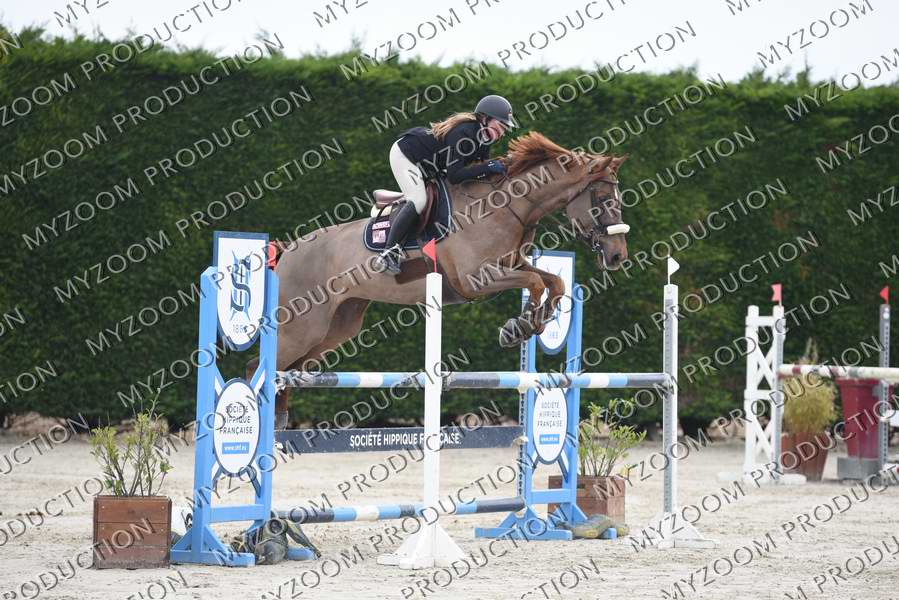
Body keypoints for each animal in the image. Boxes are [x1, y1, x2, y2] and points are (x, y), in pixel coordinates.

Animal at [254, 132, 630, 428]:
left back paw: (279, 424)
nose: (617, 256)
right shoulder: (478, 279)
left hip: (337, 326)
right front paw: (519, 327)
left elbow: (553, 283)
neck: (506, 206)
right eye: (602, 199)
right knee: (258, 368)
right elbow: (536, 284)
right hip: (301, 327)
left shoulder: (511, 265)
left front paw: (536, 321)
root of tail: (290, 250)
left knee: (288, 371)